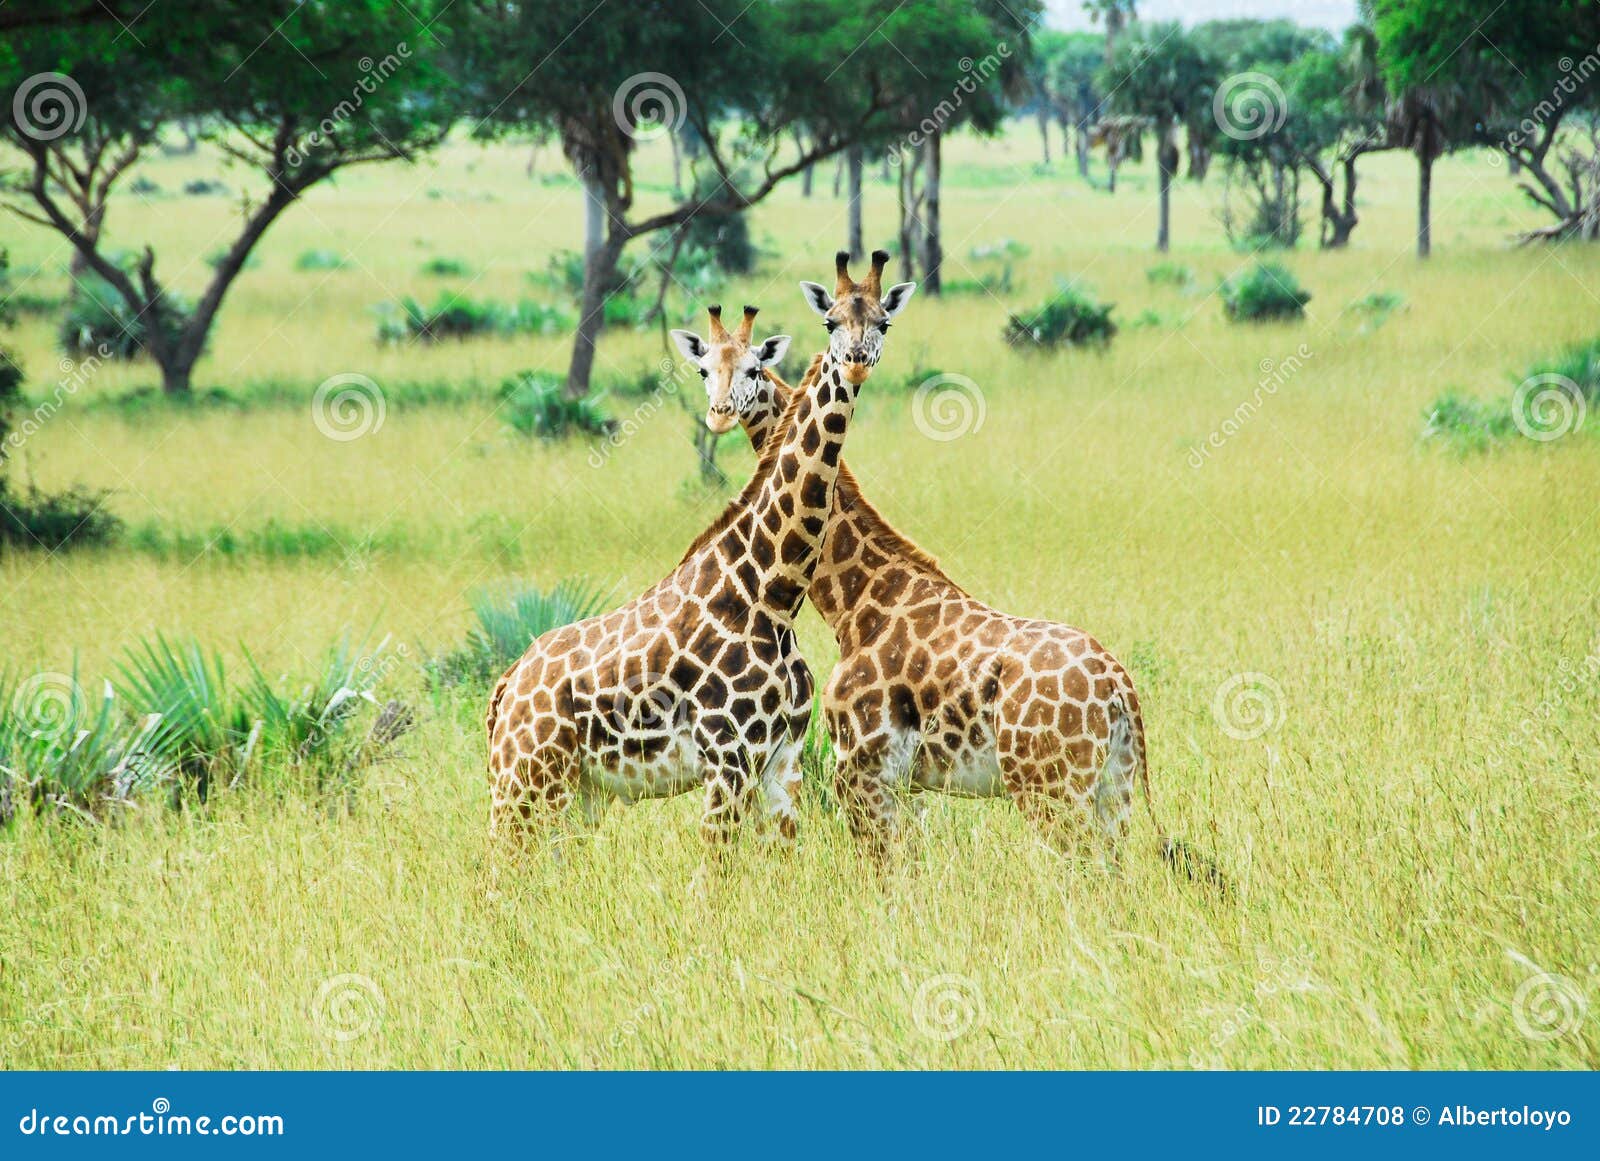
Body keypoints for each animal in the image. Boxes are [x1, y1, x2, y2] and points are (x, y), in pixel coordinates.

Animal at [483, 252, 915, 857]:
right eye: (830, 322)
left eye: (884, 322)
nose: (855, 364)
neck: (773, 592)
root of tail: (505, 688)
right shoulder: (727, 758)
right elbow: (716, 869)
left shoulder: (782, 761)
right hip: (523, 776)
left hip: (577, 789)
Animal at [694, 292, 1196, 882]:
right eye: (704, 367)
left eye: (752, 369)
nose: (718, 414)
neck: (855, 604)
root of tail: (1120, 687)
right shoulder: (910, 786)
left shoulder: (857, 771)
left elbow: (880, 874)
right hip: (1113, 787)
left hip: (1050, 787)